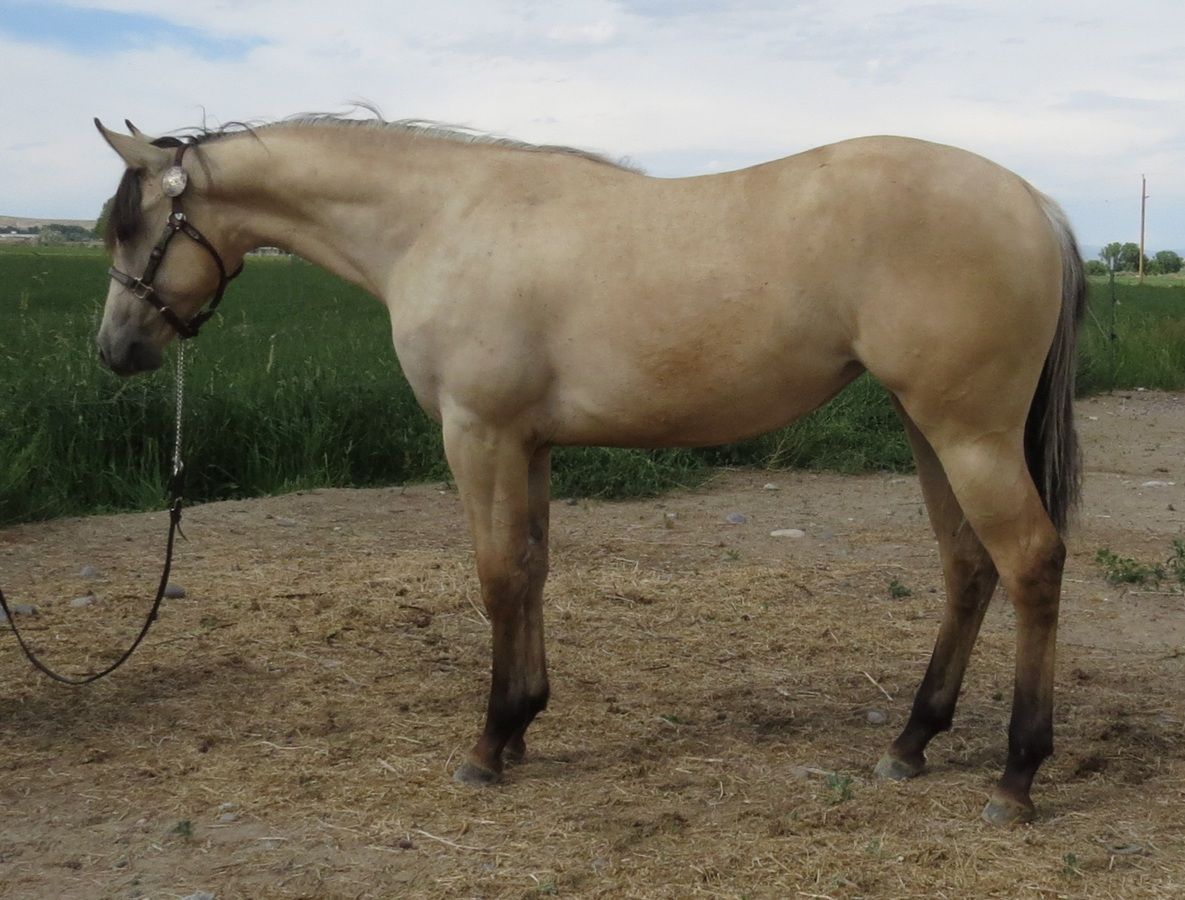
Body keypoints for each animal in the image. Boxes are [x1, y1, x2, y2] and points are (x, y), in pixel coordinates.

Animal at [93, 114, 1085, 825]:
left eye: (134, 229)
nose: (115, 349)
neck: (440, 222)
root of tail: (1032, 199)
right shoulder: (527, 445)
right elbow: (532, 571)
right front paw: (523, 722)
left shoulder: (479, 435)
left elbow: (496, 578)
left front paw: (487, 745)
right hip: (929, 429)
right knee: (967, 567)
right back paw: (911, 741)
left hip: (967, 433)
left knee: (1031, 564)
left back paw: (1014, 777)